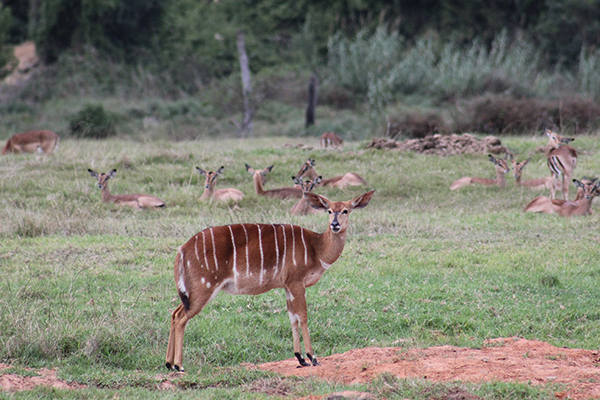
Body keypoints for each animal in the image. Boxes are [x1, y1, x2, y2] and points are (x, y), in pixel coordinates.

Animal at [164, 189, 376, 370]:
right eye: (330, 211)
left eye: (346, 210)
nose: (335, 224)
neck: (316, 248)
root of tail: (182, 249)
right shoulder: (296, 282)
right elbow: (303, 316)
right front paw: (313, 358)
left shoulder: (287, 286)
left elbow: (292, 318)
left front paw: (300, 359)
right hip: (204, 287)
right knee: (181, 317)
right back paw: (179, 366)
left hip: (192, 290)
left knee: (174, 313)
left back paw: (168, 364)